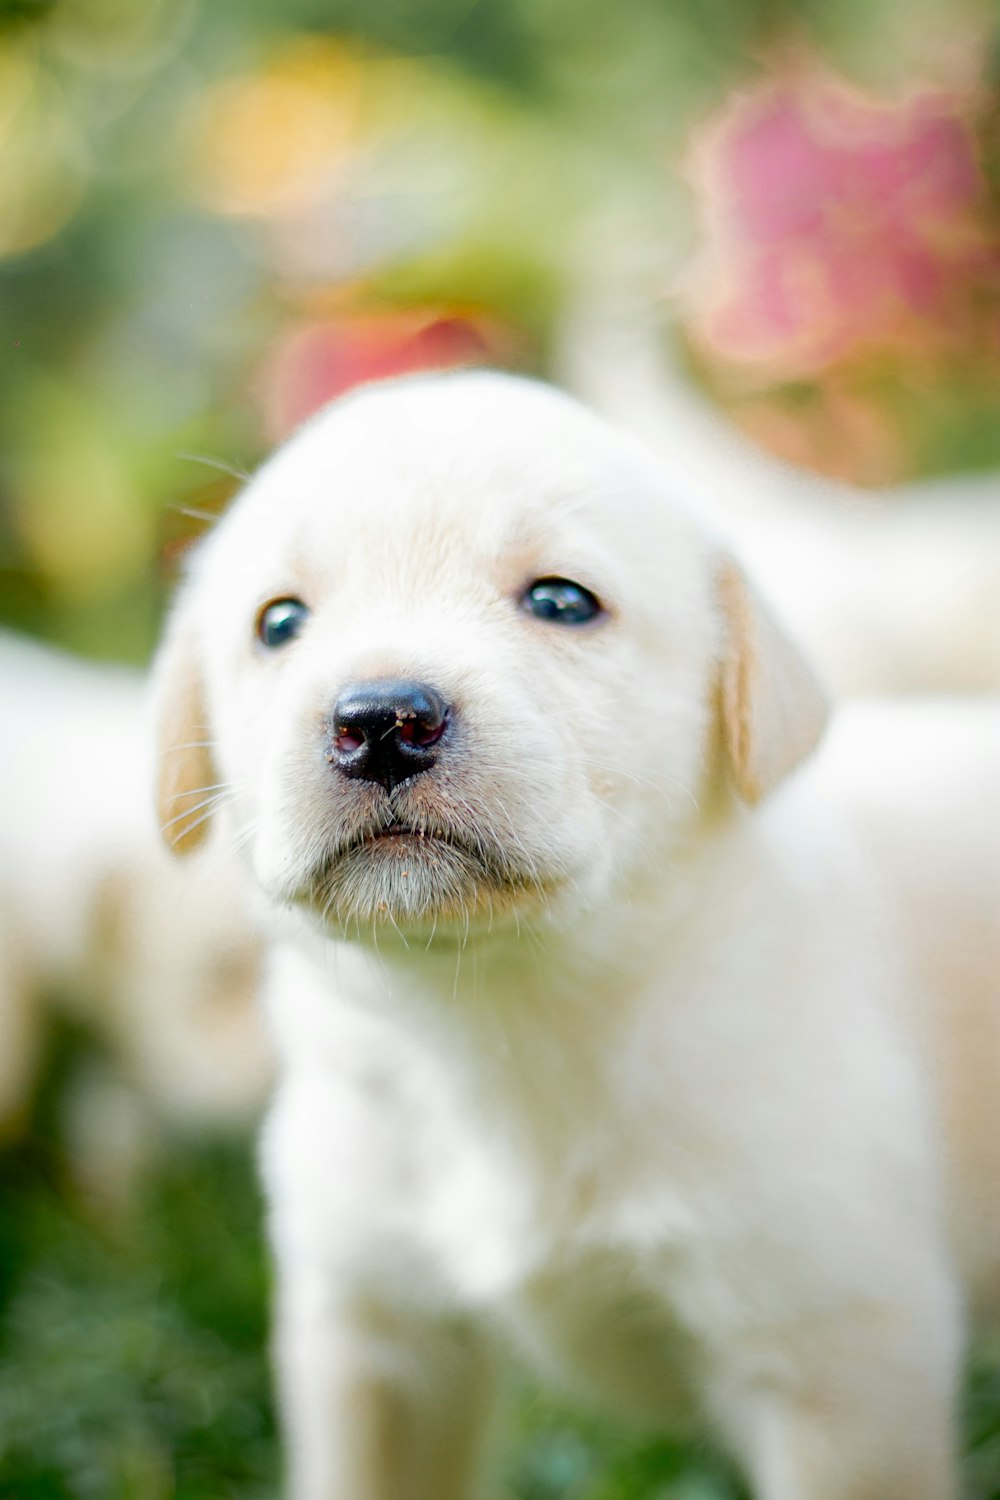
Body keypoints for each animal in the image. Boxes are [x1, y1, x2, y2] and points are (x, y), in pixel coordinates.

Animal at [154, 372, 1000, 1500]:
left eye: (561, 601)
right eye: (279, 622)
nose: (379, 721)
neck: (500, 1011)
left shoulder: (841, 1363)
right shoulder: (375, 1335)